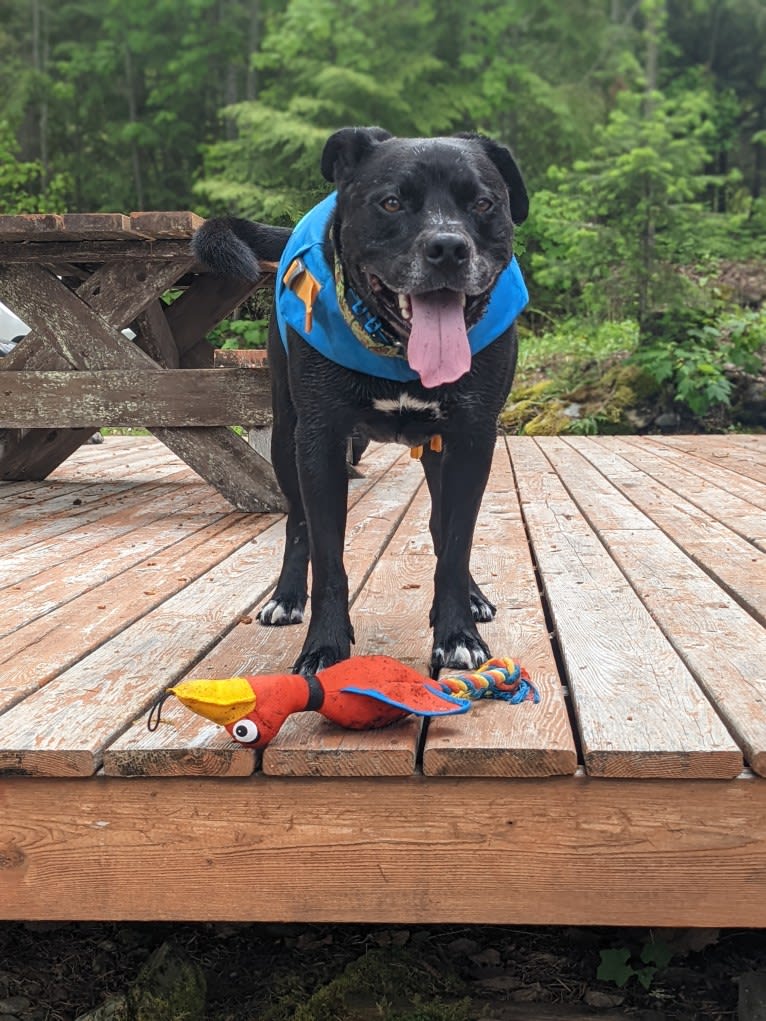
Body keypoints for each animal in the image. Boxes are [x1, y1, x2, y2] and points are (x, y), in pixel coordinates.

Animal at [192, 127, 527, 677]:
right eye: (391, 202)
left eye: (483, 203)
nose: (448, 248)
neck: (397, 351)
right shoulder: (320, 442)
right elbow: (327, 557)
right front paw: (324, 647)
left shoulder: (472, 440)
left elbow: (455, 546)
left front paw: (458, 631)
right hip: (285, 438)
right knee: (297, 524)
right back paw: (286, 597)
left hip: (437, 450)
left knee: (441, 526)